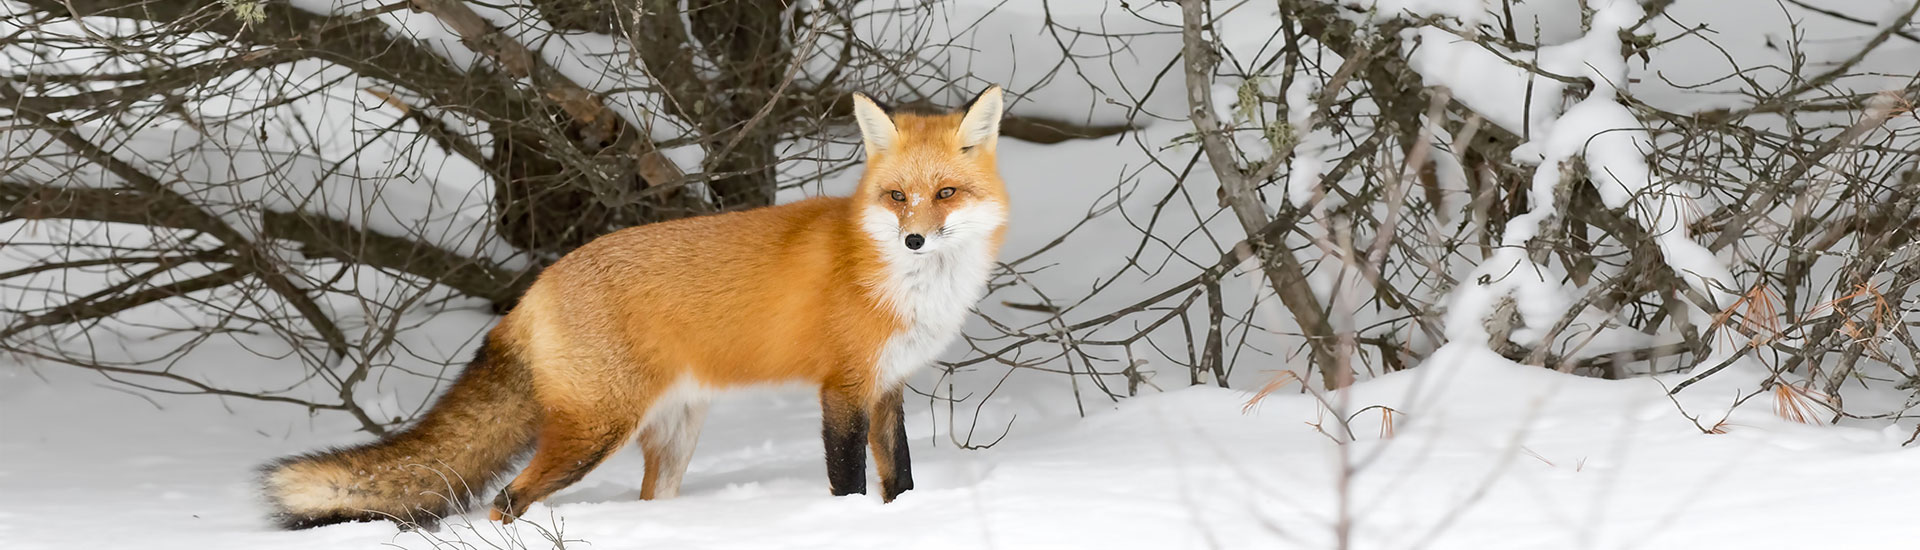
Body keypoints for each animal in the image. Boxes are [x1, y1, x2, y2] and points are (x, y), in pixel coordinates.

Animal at [261, 87, 1013, 526]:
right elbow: (849, 483)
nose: (914, 238)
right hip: (595, 431)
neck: (900, 282)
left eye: (946, 193)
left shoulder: (887, 387)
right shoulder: (843, 388)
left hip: (673, 435)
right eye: (897, 197)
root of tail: (536, 287)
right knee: (506, 500)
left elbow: (901, 478)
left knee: (647, 502)